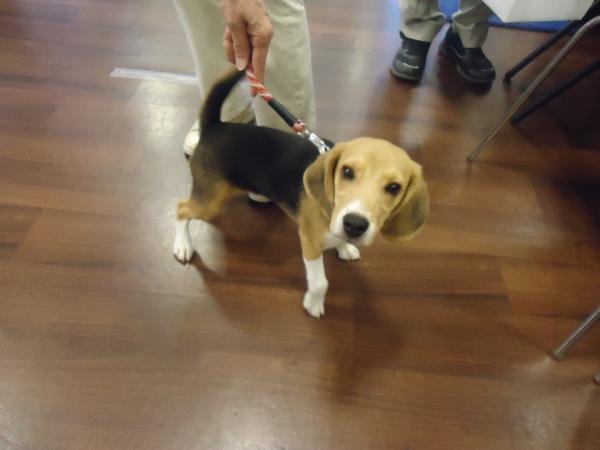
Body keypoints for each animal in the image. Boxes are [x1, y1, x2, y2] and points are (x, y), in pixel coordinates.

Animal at [173, 69, 429, 318]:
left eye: (394, 187)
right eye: (346, 171)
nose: (355, 224)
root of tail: (215, 126)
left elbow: (338, 239)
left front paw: (344, 246)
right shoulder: (309, 241)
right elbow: (320, 283)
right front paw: (314, 304)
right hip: (209, 202)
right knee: (181, 209)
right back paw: (182, 245)